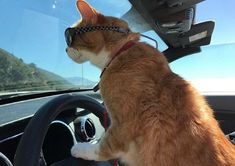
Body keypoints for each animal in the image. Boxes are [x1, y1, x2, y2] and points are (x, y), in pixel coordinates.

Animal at [65, 0, 235, 165]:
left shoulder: (121, 127)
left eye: (69, 38)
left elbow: (101, 148)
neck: (120, 52)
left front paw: (79, 149)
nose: (66, 50)